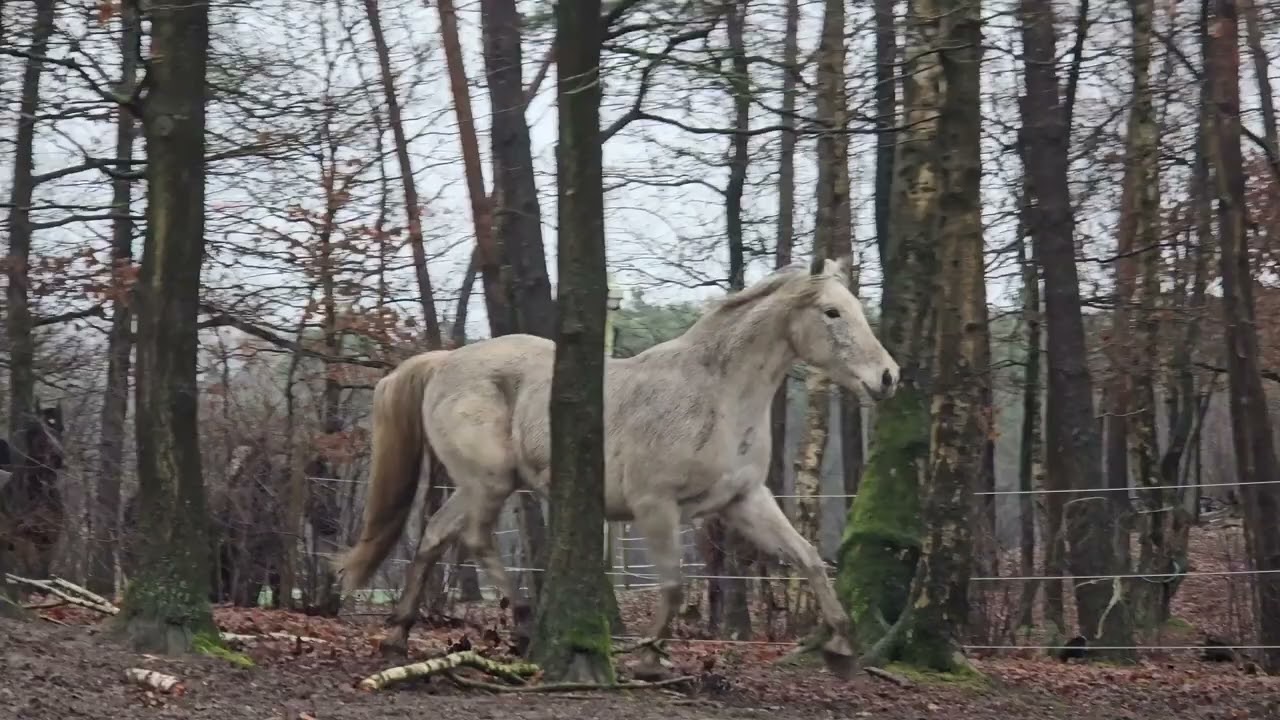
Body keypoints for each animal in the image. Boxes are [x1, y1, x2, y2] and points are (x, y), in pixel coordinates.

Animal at [335, 257, 899, 679]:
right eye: (832, 312)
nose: (888, 377)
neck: (714, 395)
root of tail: (444, 363)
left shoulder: (744, 501)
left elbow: (808, 558)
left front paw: (841, 648)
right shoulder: (656, 507)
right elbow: (673, 585)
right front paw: (649, 659)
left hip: (479, 485)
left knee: (434, 534)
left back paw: (397, 635)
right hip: (489, 482)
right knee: (473, 539)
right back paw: (522, 625)